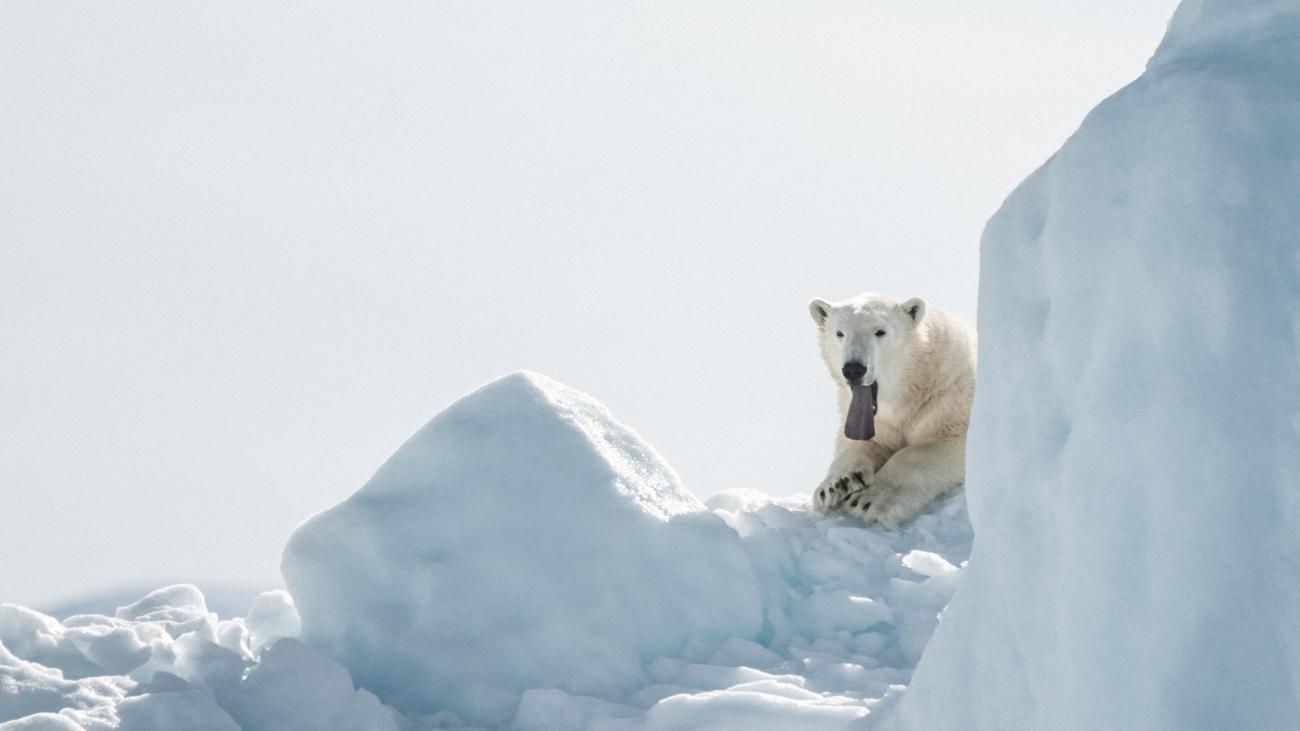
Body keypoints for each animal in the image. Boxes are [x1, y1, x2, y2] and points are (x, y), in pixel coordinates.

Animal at [806, 290, 977, 522]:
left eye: (880, 332)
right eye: (839, 333)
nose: (854, 369)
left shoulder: (949, 397)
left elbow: (929, 448)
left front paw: (869, 500)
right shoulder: (878, 420)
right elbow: (863, 442)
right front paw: (836, 485)